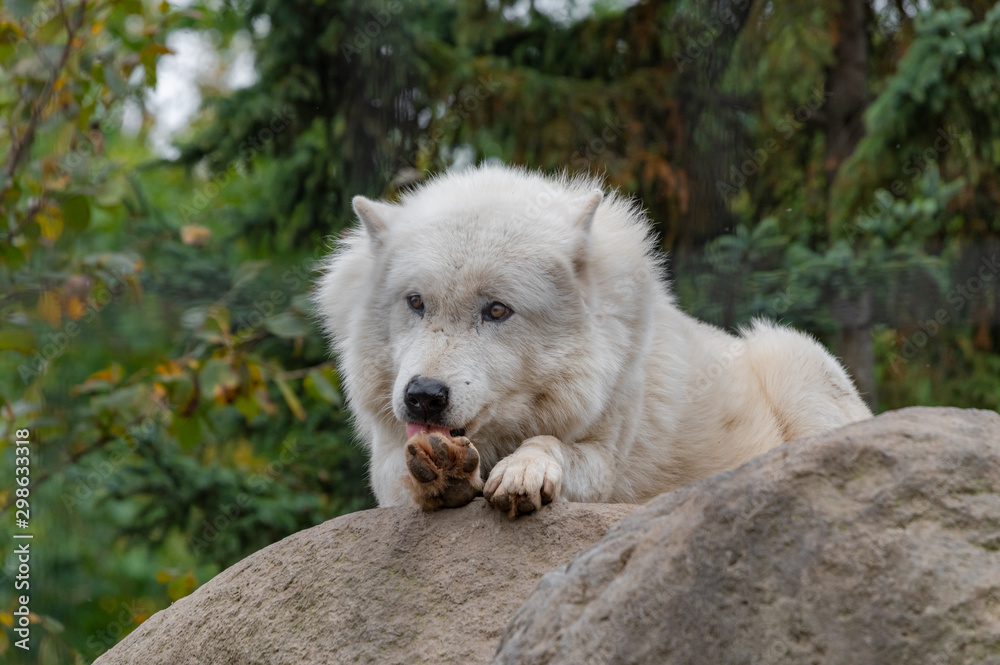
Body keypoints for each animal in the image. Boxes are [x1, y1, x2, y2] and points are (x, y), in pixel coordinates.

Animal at [316, 163, 872, 516]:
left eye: (497, 310)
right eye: (416, 303)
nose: (423, 396)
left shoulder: (605, 459)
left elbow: (551, 445)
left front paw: (524, 470)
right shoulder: (388, 460)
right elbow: (403, 475)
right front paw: (444, 473)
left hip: (788, 354)